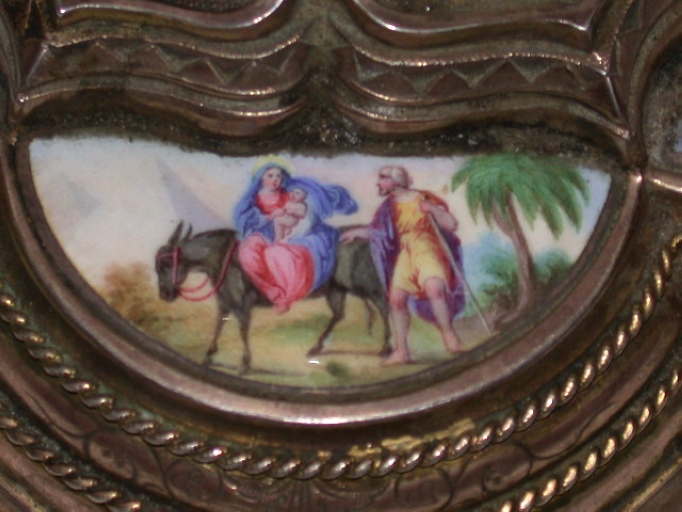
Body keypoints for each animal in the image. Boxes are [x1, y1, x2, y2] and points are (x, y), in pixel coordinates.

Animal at [155, 222, 391, 375]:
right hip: (336, 289)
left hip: (365, 285)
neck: (223, 258)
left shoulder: (242, 306)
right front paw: (209, 355)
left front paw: (245, 364)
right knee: (339, 314)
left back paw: (386, 348)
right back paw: (316, 347)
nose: (165, 295)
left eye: (165, 264)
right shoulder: (225, 303)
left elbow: (242, 330)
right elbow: (218, 325)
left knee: (383, 306)